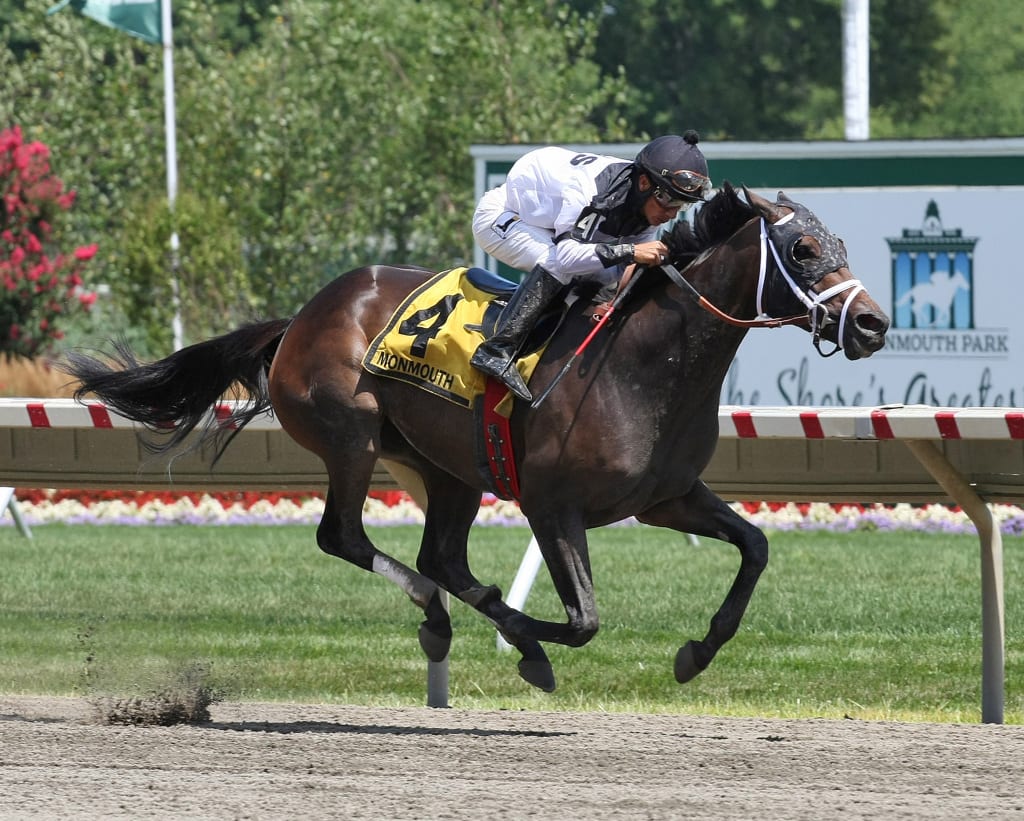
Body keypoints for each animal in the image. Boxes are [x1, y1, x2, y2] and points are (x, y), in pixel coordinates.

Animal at [64, 184, 888, 692]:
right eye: (804, 250)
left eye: (841, 242)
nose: (873, 323)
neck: (644, 362)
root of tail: (300, 315)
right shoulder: (552, 506)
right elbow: (582, 621)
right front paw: (528, 644)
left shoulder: (667, 497)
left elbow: (755, 547)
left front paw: (694, 652)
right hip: (353, 436)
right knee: (348, 538)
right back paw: (446, 617)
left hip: (448, 466)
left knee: (441, 558)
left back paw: (444, 615)